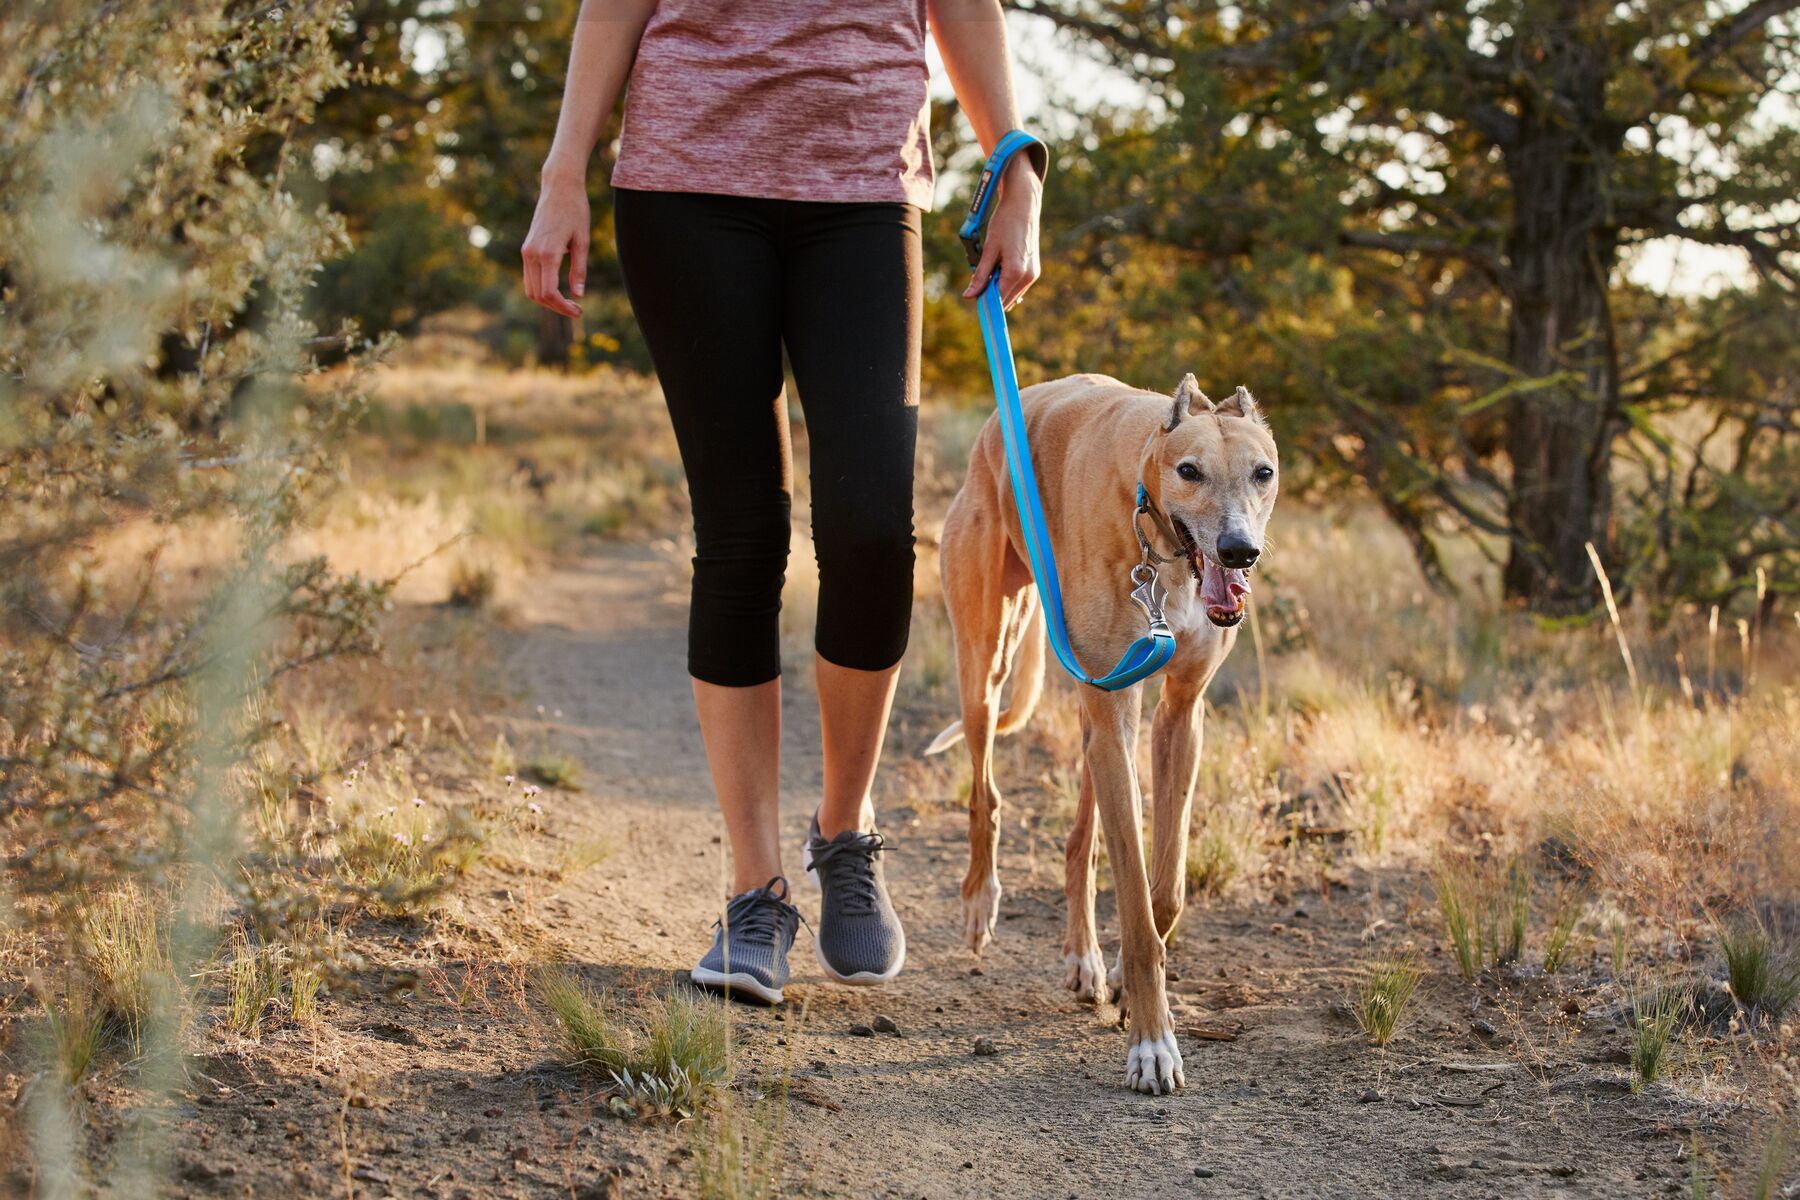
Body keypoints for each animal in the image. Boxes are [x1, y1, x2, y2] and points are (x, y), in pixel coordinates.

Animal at [928, 370, 1281, 1093]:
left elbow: (1164, 892)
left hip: (1103, 706)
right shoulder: (1116, 707)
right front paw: (1153, 1044)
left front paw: (1120, 974)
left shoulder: (1180, 711)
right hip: (989, 660)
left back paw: (1085, 958)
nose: (1238, 550)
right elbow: (1140, 910)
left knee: (1079, 839)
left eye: (1263, 471)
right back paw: (980, 901)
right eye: (1189, 470)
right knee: (985, 792)